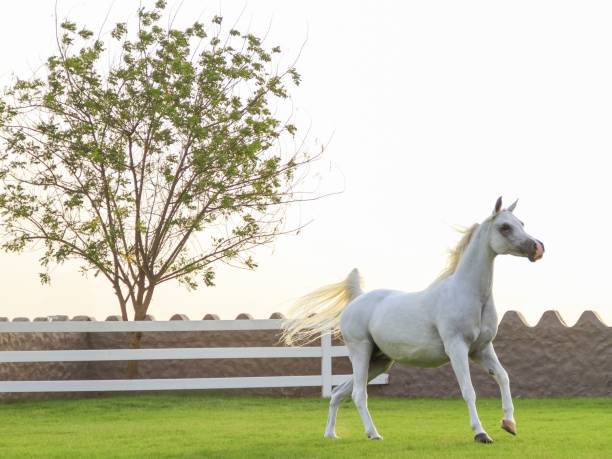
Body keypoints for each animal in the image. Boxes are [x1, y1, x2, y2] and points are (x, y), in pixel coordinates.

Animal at [282, 199, 544, 446]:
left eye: (521, 222)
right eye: (504, 227)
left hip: (379, 362)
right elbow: (469, 390)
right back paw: (373, 434)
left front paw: (509, 424)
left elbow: (503, 376)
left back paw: (331, 434)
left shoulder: (481, 349)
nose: (538, 248)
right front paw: (481, 434)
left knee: (338, 393)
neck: (469, 294)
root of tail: (356, 299)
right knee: (358, 394)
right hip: (361, 352)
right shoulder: (457, 348)